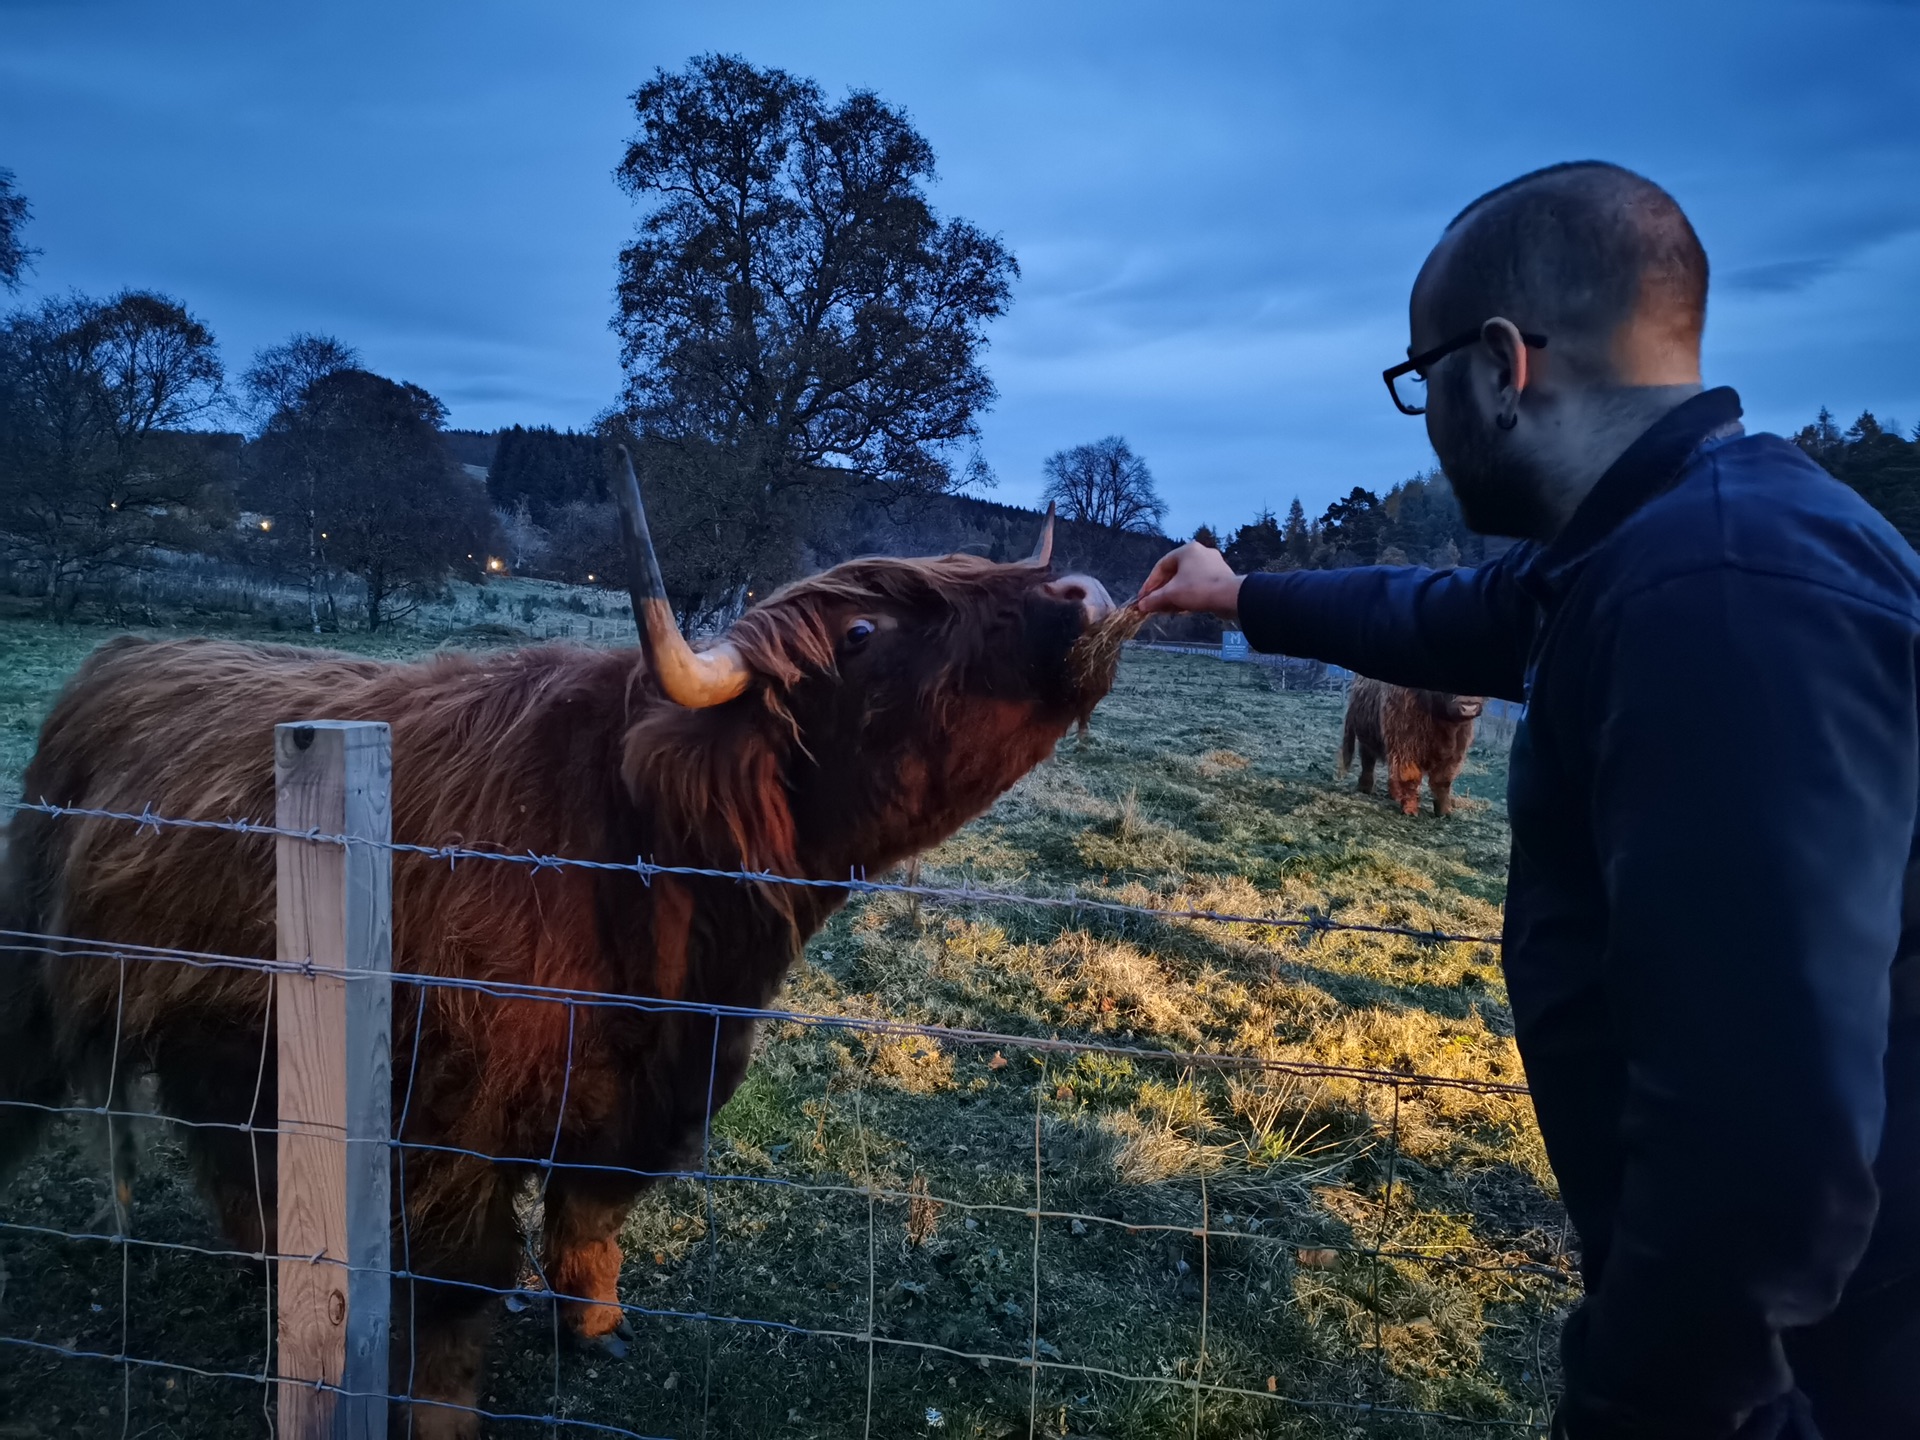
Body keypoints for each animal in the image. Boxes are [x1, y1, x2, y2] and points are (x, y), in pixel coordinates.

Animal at [0, 453, 1121, 1440]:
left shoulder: (656, 1085)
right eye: (861, 630)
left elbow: (591, 1215)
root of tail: (124, 654)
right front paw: (443, 1418)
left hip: (225, 1023)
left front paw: (596, 1326)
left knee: (223, 1141)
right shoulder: (449, 1118)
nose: (1086, 590)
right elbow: (462, 1289)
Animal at [1336, 675, 1482, 817]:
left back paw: (1395, 795)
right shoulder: (1405, 745)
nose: (1469, 707)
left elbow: (1443, 781)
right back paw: (1365, 788)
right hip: (1367, 735)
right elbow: (1410, 778)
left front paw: (1444, 812)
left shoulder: (1456, 751)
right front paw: (1410, 810)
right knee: (1368, 762)